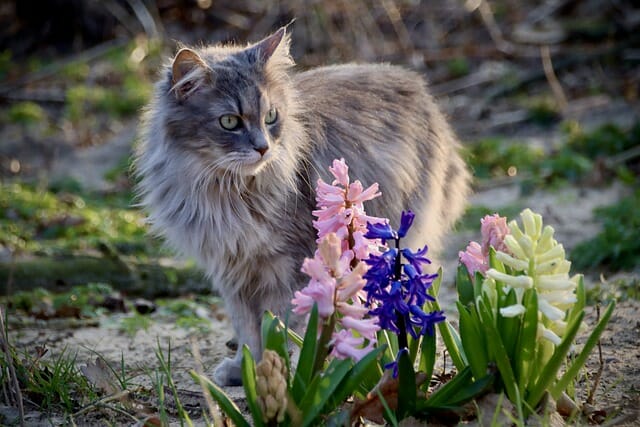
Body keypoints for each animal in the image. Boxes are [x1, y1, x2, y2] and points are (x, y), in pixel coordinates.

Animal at [135, 26, 470, 388]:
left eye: (270, 117)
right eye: (229, 122)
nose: (263, 148)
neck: (224, 191)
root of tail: (416, 84)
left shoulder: (287, 264)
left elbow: (276, 325)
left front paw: (274, 370)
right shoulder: (231, 268)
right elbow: (247, 328)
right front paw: (245, 368)